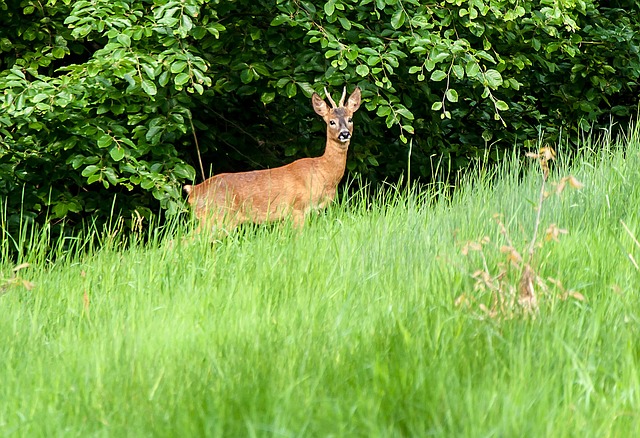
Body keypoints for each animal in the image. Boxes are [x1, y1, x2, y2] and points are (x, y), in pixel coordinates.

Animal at [184, 87, 360, 234]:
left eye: (350, 119)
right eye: (331, 122)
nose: (344, 134)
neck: (323, 173)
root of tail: (193, 191)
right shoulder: (298, 208)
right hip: (216, 216)